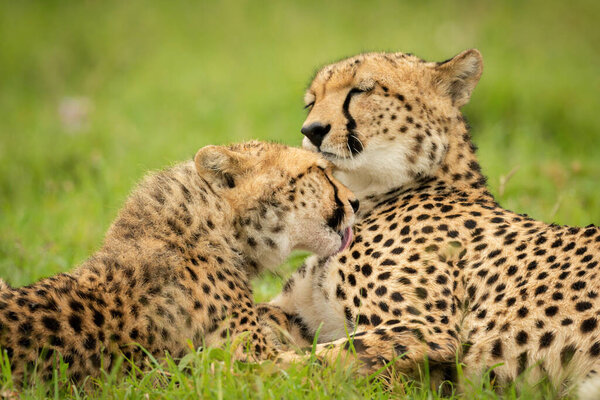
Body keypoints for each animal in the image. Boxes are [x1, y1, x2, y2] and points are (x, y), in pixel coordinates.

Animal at [262, 49, 600, 394]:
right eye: (311, 101)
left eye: (360, 90)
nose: (312, 130)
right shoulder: (302, 314)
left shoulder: (424, 330)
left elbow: (306, 361)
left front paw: (254, 369)